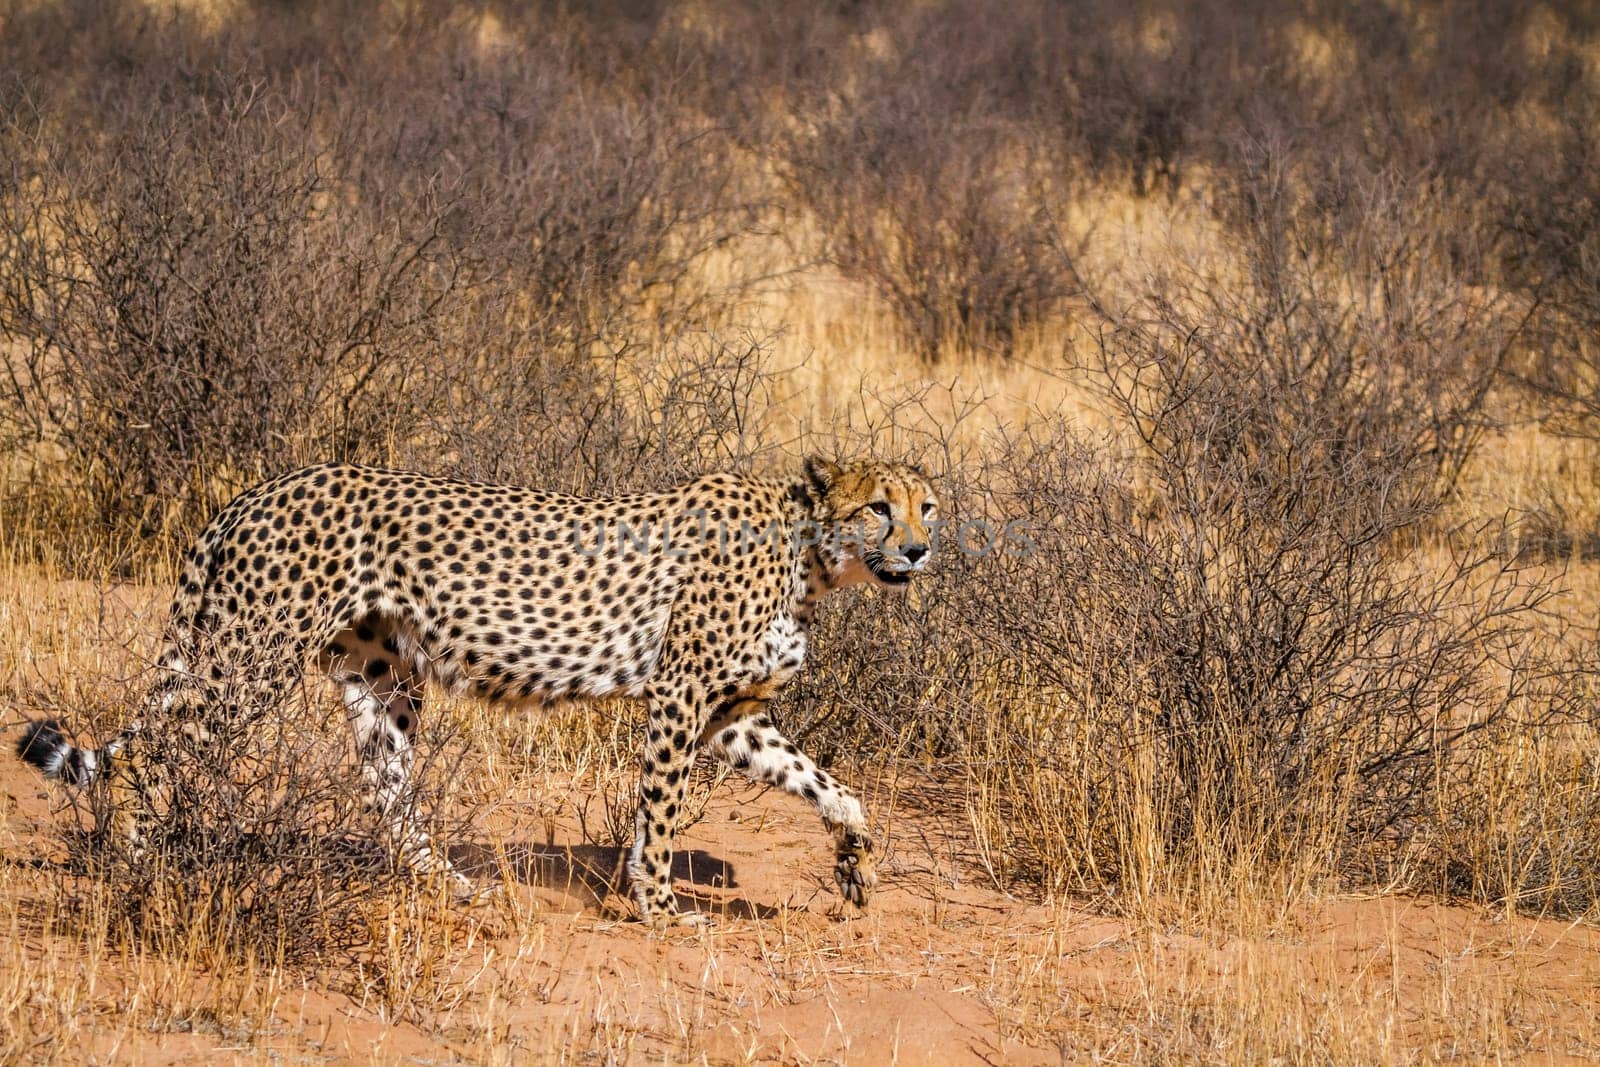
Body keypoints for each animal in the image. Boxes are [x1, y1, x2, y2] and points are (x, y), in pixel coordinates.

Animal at [15, 460, 934, 927]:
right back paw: (137, 870)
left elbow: (832, 787)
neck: (811, 555)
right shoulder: (679, 698)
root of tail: (265, 484)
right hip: (252, 656)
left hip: (381, 678)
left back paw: (447, 884)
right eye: (877, 507)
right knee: (153, 748)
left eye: (926, 504)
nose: (922, 548)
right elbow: (662, 811)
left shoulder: (730, 717)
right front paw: (663, 907)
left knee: (387, 788)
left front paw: (854, 866)